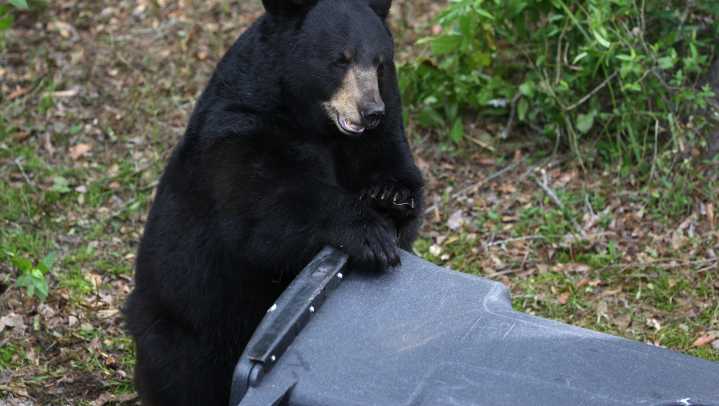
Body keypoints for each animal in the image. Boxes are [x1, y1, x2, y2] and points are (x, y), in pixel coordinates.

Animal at [123, 0, 424, 405]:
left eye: (380, 62)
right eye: (340, 59)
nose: (370, 111)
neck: (316, 124)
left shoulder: (383, 130)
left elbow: (399, 177)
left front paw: (391, 196)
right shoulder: (241, 132)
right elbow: (265, 215)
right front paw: (370, 236)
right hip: (185, 322)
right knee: (183, 374)